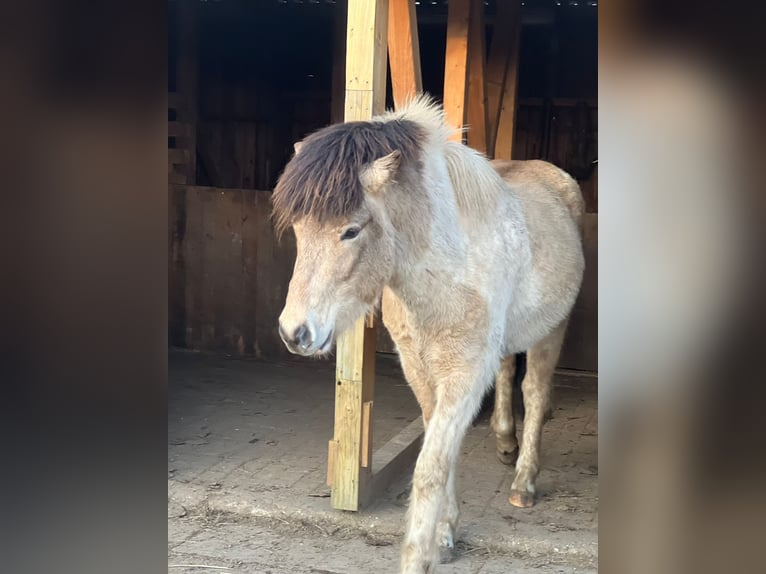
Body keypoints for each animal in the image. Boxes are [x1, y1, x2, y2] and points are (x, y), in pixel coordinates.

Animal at [272, 97, 584, 572]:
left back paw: (523, 483)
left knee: (534, 392)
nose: (295, 332)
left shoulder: (464, 375)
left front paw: (419, 556)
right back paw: (505, 443)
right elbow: (443, 451)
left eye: (351, 230)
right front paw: (445, 533)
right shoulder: (419, 367)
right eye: (298, 229)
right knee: (508, 373)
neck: (448, 268)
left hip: (552, 330)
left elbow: (430, 467)